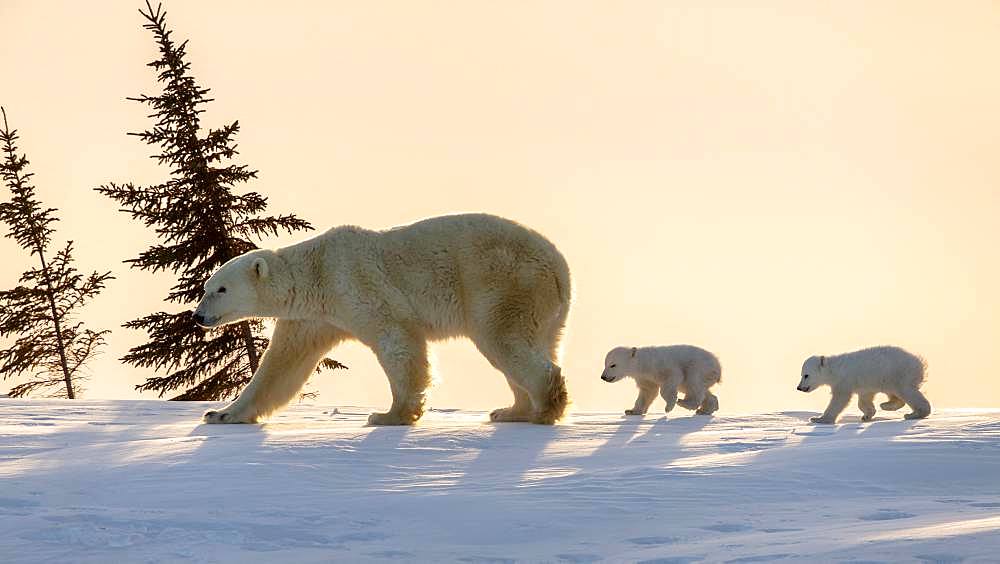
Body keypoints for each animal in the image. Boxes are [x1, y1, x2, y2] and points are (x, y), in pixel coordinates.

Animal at [191, 214, 568, 426]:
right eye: (206, 286)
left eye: (221, 288)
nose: (198, 316)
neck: (317, 272)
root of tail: (559, 266)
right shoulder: (313, 317)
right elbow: (281, 365)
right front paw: (220, 414)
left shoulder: (355, 282)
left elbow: (396, 341)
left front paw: (389, 415)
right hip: (542, 308)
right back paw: (512, 410)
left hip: (503, 282)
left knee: (505, 341)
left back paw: (544, 408)